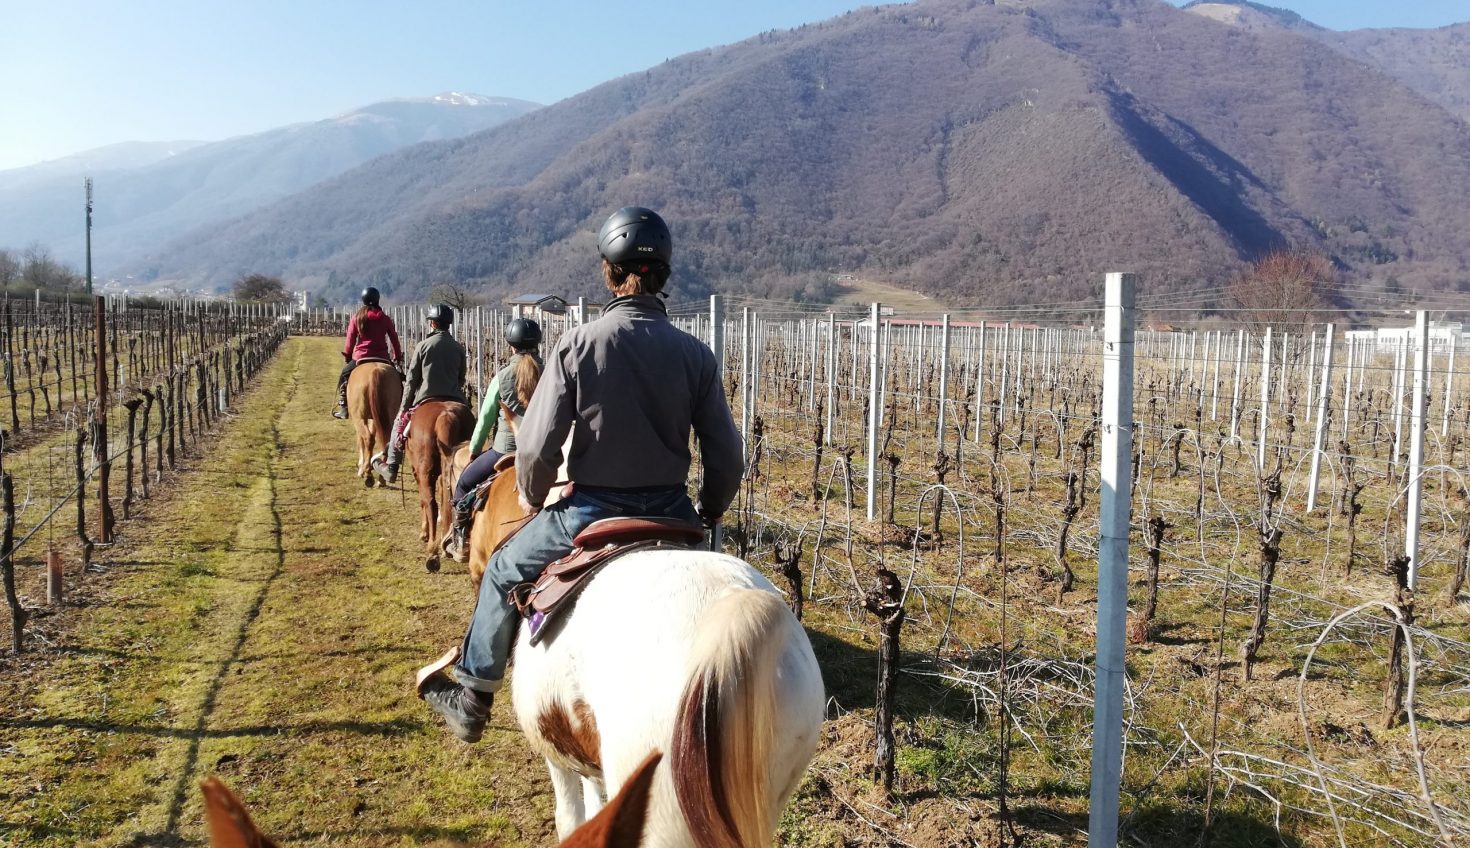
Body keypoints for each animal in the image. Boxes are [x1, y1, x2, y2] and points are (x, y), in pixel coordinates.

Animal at [411, 399, 473, 573]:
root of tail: (446, 415)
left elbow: (424, 502)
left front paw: (424, 533)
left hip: (424, 472)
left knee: (431, 504)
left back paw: (433, 553)